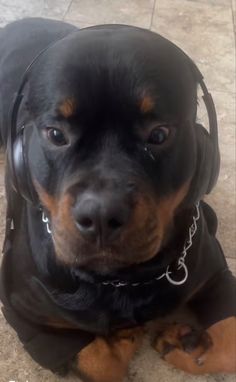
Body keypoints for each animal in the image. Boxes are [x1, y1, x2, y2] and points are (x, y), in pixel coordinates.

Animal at [0, 17, 235, 382]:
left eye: (159, 135)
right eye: (56, 134)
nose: (100, 214)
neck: (121, 277)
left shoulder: (213, 272)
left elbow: (229, 340)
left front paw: (184, 346)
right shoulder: (25, 313)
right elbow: (99, 361)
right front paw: (123, 338)